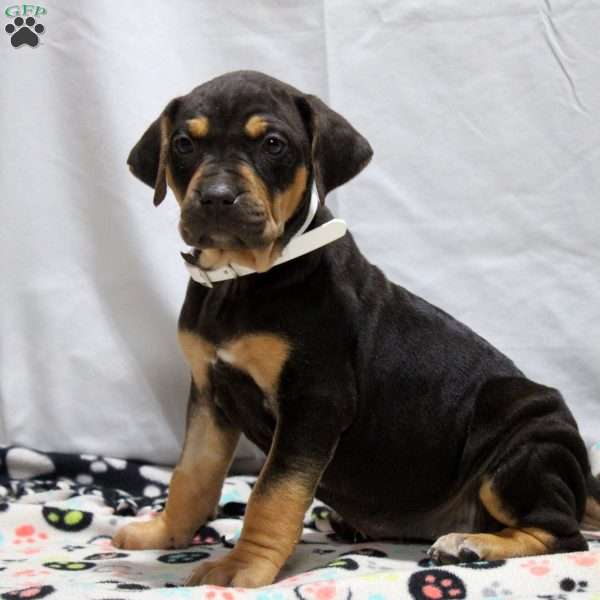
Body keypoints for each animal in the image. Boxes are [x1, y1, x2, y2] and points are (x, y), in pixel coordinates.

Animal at [112, 69, 600, 584]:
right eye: (184, 144)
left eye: (273, 144)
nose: (217, 197)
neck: (242, 278)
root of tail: (581, 473)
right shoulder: (210, 393)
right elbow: (192, 473)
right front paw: (164, 534)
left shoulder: (314, 400)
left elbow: (272, 492)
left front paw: (242, 566)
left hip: (521, 446)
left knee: (562, 532)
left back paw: (470, 544)